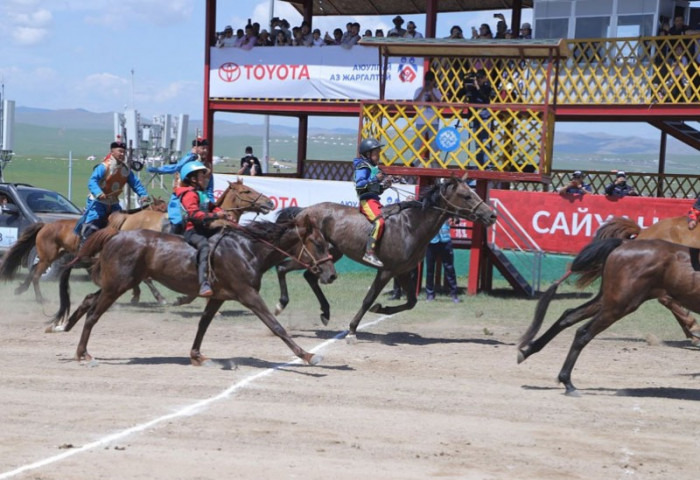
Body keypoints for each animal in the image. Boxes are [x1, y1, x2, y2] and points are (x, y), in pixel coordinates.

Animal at [48, 214, 336, 364]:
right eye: (318, 244)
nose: (331, 274)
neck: (248, 249)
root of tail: (116, 234)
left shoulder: (218, 297)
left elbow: (203, 324)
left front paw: (196, 355)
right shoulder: (248, 295)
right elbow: (276, 326)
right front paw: (308, 356)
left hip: (116, 284)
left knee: (88, 300)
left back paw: (65, 328)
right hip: (116, 286)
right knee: (93, 314)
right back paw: (82, 353)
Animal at [272, 177, 498, 342]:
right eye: (466, 196)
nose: (492, 215)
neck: (410, 225)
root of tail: (304, 211)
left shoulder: (404, 271)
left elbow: (411, 302)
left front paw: (381, 309)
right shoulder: (386, 271)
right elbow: (368, 298)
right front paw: (352, 329)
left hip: (329, 256)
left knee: (306, 276)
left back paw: (325, 312)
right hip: (311, 254)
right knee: (283, 268)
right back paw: (281, 304)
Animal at [516, 238, 700, 396]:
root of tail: (624, 243)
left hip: (609, 300)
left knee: (568, 316)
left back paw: (529, 350)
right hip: (620, 305)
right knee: (583, 332)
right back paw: (567, 382)